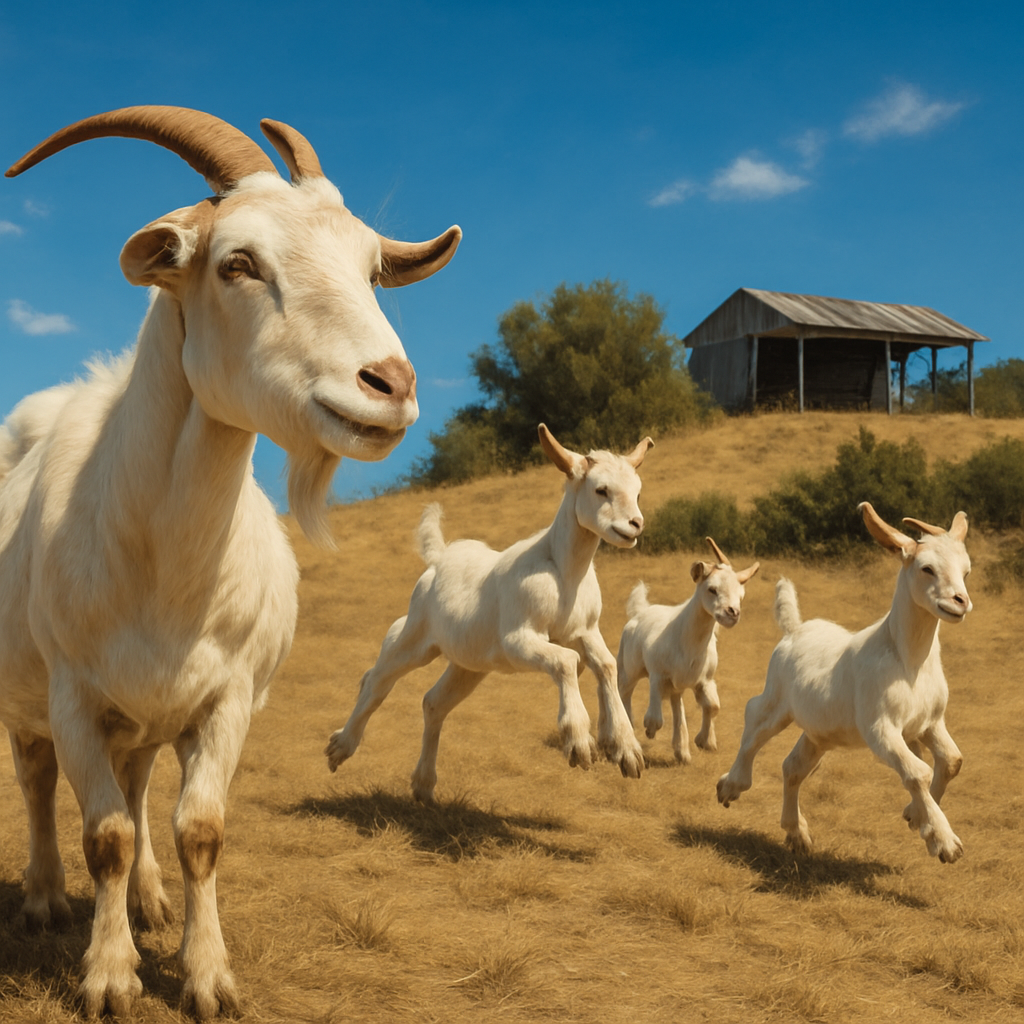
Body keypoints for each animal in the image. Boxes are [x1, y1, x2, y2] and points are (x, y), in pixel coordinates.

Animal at [0, 106, 460, 1018]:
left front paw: (207, 973)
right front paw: (109, 976)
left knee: (140, 785)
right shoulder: (74, 696)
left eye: (371, 269)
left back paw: (148, 899)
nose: (389, 385)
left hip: (144, 718)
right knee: (37, 783)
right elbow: (102, 832)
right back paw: (42, 898)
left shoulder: (228, 698)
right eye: (237, 263)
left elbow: (197, 830)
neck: (163, 565)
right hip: (32, 699)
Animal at [325, 424, 651, 802]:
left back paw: (423, 785)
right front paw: (579, 742)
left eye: (638, 492)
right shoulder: (518, 638)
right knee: (376, 679)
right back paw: (340, 748)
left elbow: (607, 665)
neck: (564, 571)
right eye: (601, 490)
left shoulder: (585, 631)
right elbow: (566, 661)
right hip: (414, 635)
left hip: (469, 663)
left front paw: (627, 750)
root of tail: (439, 558)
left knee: (433, 702)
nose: (635, 525)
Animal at [618, 538, 759, 763]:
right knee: (624, 692)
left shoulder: (705, 680)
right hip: (629, 669)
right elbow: (655, 718)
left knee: (676, 703)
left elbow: (713, 706)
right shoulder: (657, 675)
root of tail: (640, 612)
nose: (732, 613)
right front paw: (649, 730)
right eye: (712, 589)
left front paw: (705, 741)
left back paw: (682, 751)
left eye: (741, 595)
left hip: (677, 685)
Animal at [716, 502, 970, 863]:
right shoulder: (880, 727)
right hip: (776, 700)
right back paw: (731, 786)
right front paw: (945, 841)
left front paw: (915, 817)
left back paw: (797, 834)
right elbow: (918, 770)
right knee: (753, 722)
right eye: (927, 568)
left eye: (966, 572)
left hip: (819, 732)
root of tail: (795, 629)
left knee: (793, 766)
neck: (909, 660)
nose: (960, 602)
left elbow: (951, 761)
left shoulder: (929, 723)